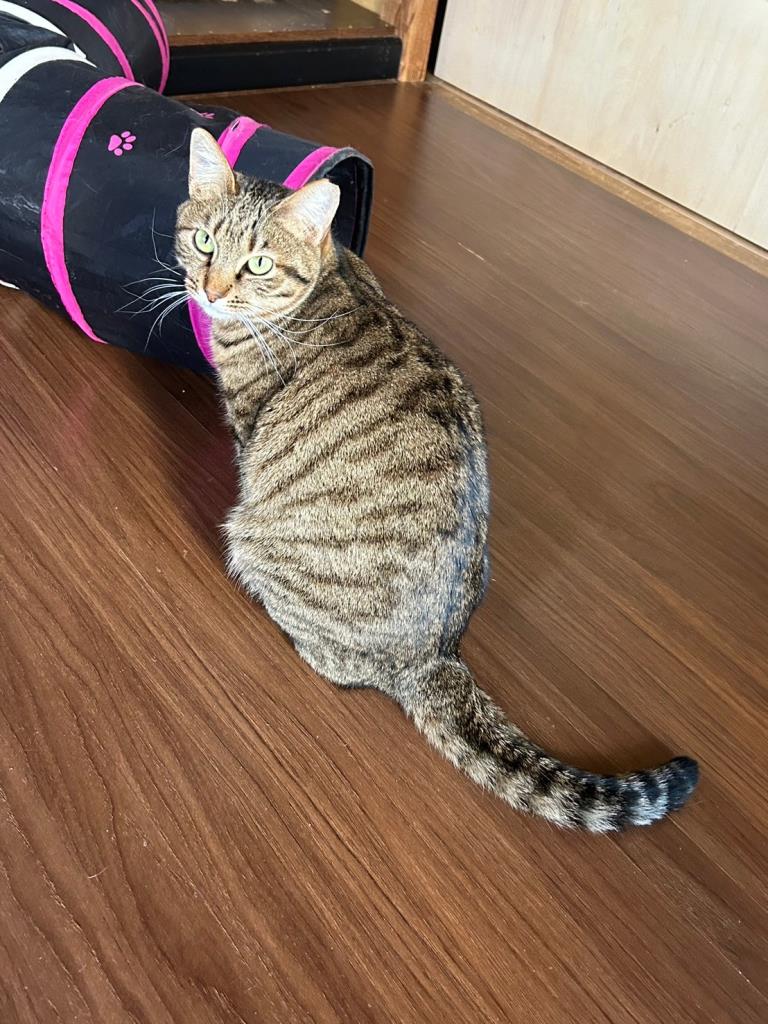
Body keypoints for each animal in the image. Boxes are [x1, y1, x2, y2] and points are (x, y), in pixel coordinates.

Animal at [174, 127, 698, 832]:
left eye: (257, 264)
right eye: (204, 241)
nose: (208, 288)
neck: (324, 283)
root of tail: (435, 655)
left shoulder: (246, 422)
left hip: (253, 541)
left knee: (339, 664)